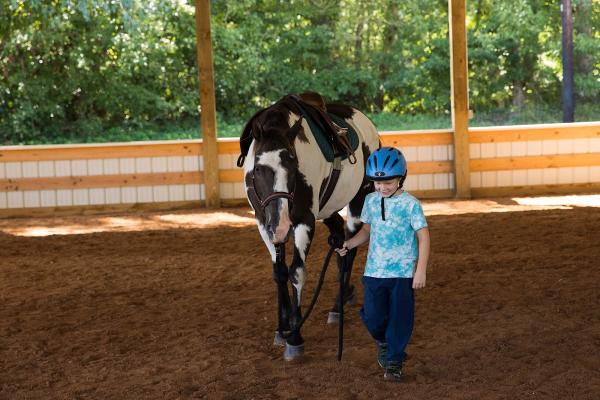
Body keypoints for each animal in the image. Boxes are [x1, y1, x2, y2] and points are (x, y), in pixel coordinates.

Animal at [236, 92, 380, 360]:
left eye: (294, 165)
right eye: (259, 168)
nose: (281, 226)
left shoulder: (304, 220)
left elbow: (296, 273)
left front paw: (295, 336)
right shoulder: (264, 224)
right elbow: (279, 273)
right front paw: (282, 329)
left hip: (358, 201)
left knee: (350, 248)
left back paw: (337, 306)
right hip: (328, 211)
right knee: (340, 242)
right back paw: (345, 294)